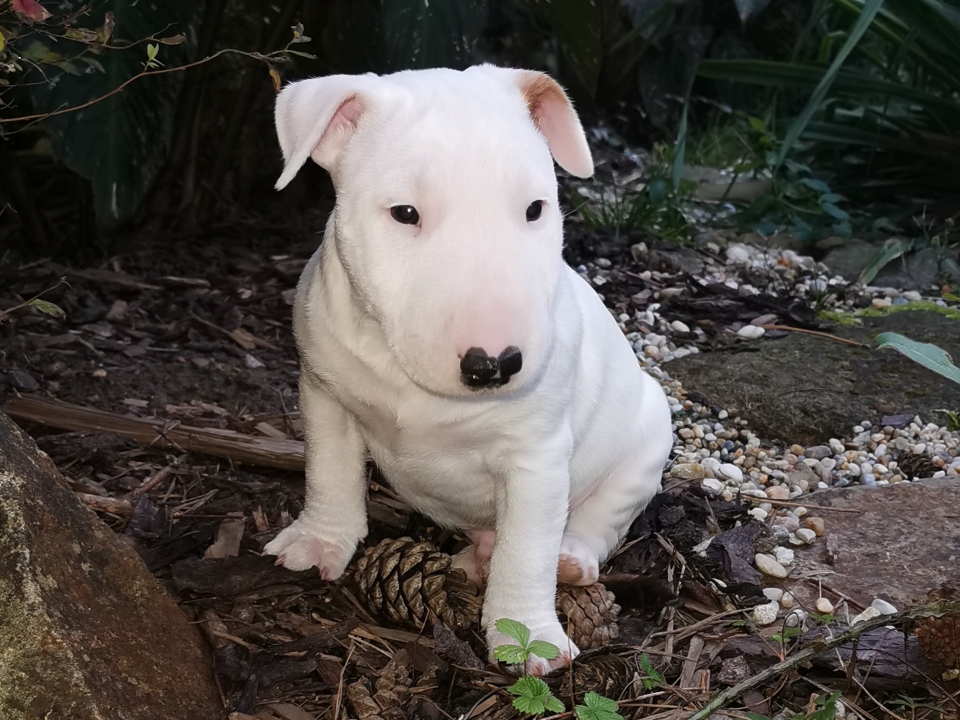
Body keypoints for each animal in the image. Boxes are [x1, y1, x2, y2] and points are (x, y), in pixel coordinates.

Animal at [264, 64, 673, 675]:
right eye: (405, 213)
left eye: (535, 208)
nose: (496, 364)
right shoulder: (323, 393)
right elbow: (330, 472)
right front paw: (318, 543)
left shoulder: (537, 457)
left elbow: (526, 551)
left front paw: (531, 638)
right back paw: (475, 559)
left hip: (650, 440)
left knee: (602, 516)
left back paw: (570, 560)